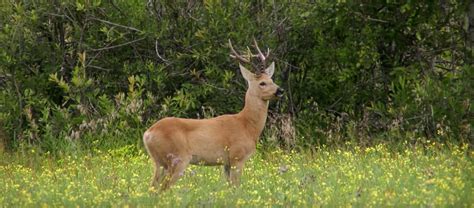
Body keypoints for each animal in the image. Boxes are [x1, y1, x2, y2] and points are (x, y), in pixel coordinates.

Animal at [143, 38, 286, 190]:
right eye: (262, 83)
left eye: (272, 80)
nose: (280, 90)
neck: (247, 125)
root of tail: (148, 134)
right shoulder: (237, 156)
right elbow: (236, 187)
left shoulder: (226, 163)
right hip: (177, 158)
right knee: (163, 189)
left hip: (160, 162)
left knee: (152, 188)